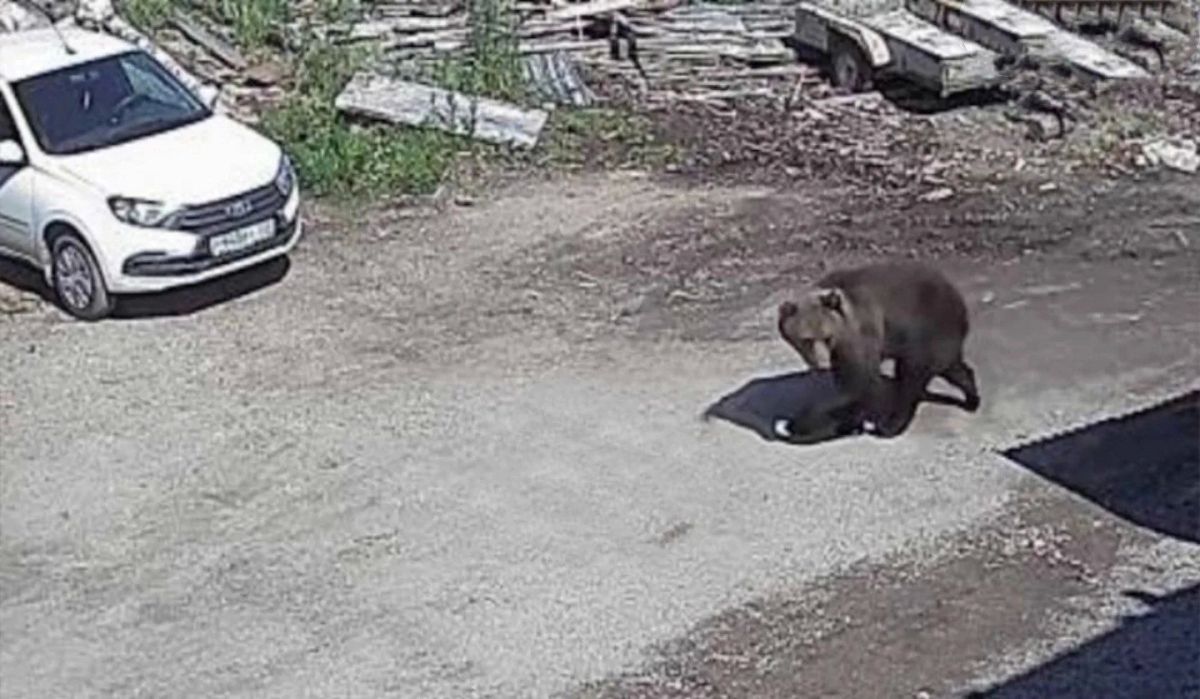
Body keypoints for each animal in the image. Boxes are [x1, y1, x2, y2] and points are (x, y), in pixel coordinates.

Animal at [777, 260, 981, 438]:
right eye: (807, 339)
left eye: (827, 337)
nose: (821, 362)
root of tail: (957, 296)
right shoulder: (842, 347)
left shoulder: (863, 332)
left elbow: (860, 382)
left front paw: (803, 422)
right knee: (951, 368)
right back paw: (972, 399)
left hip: (928, 328)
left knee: (911, 374)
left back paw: (891, 425)